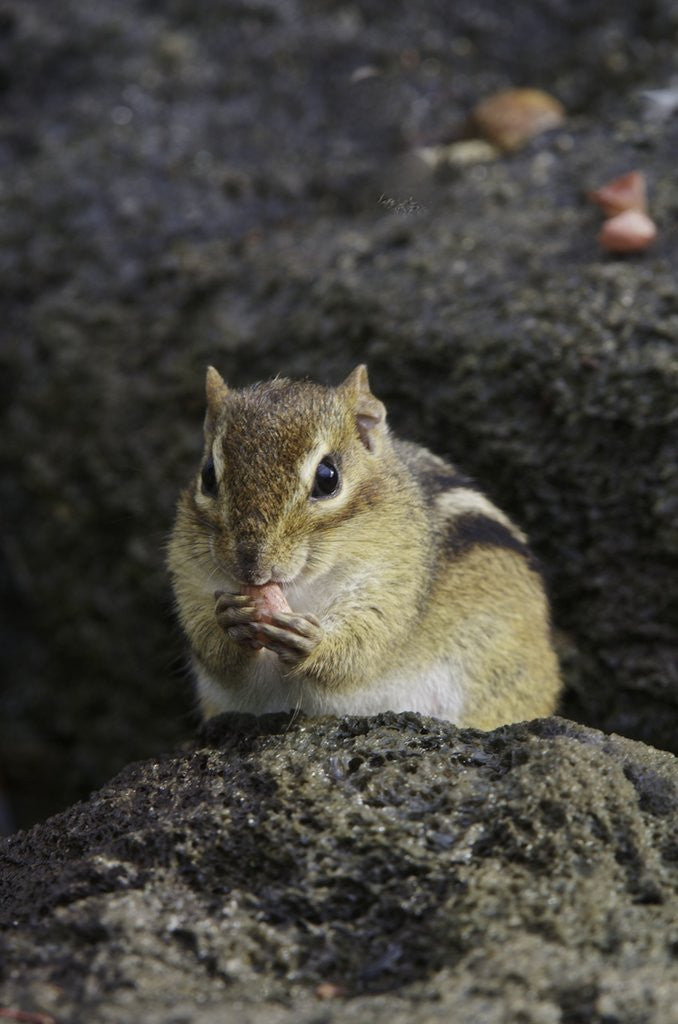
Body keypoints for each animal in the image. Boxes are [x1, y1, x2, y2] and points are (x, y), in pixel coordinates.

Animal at [168, 365, 561, 727]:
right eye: (208, 476)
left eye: (327, 478)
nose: (252, 567)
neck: (300, 588)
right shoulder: (190, 576)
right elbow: (211, 645)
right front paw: (228, 619)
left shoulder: (393, 580)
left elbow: (365, 643)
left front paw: (313, 643)